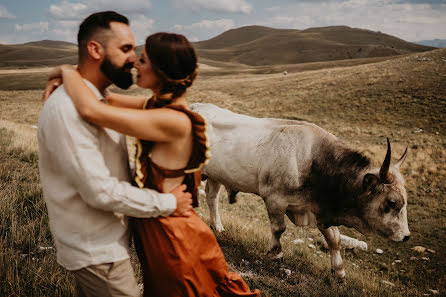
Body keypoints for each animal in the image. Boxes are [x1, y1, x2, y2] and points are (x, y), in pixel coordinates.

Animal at [190, 102, 410, 278]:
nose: (406, 236)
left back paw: (218, 227)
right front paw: (276, 253)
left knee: (212, 197)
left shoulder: (320, 210)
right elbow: (278, 228)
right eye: (391, 202)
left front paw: (339, 272)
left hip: (216, 175)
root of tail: (196, 105)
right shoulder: (274, 199)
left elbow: (335, 240)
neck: (313, 160)